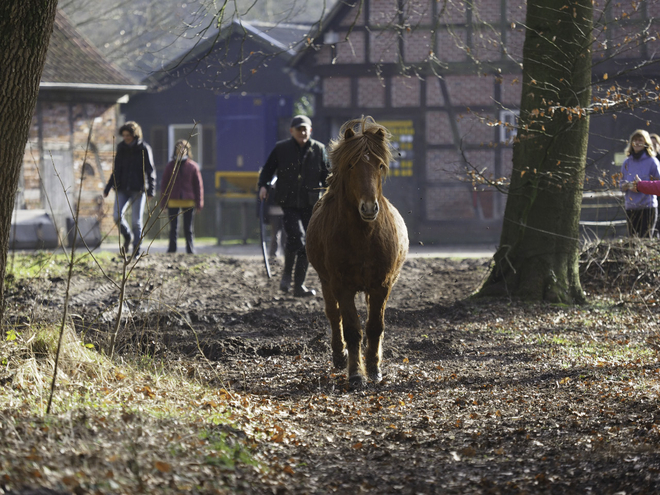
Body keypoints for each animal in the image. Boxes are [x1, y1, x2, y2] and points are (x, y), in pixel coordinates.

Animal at [306, 118, 408, 390]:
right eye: (351, 165)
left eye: (380, 165)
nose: (369, 208)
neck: (364, 236)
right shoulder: (342, 285)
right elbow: (352, 328)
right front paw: (355, 373)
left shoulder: (381, 285)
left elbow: (375, 327)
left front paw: (373, 369)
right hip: (326, 281)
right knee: (334, 316)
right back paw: (339, 356)